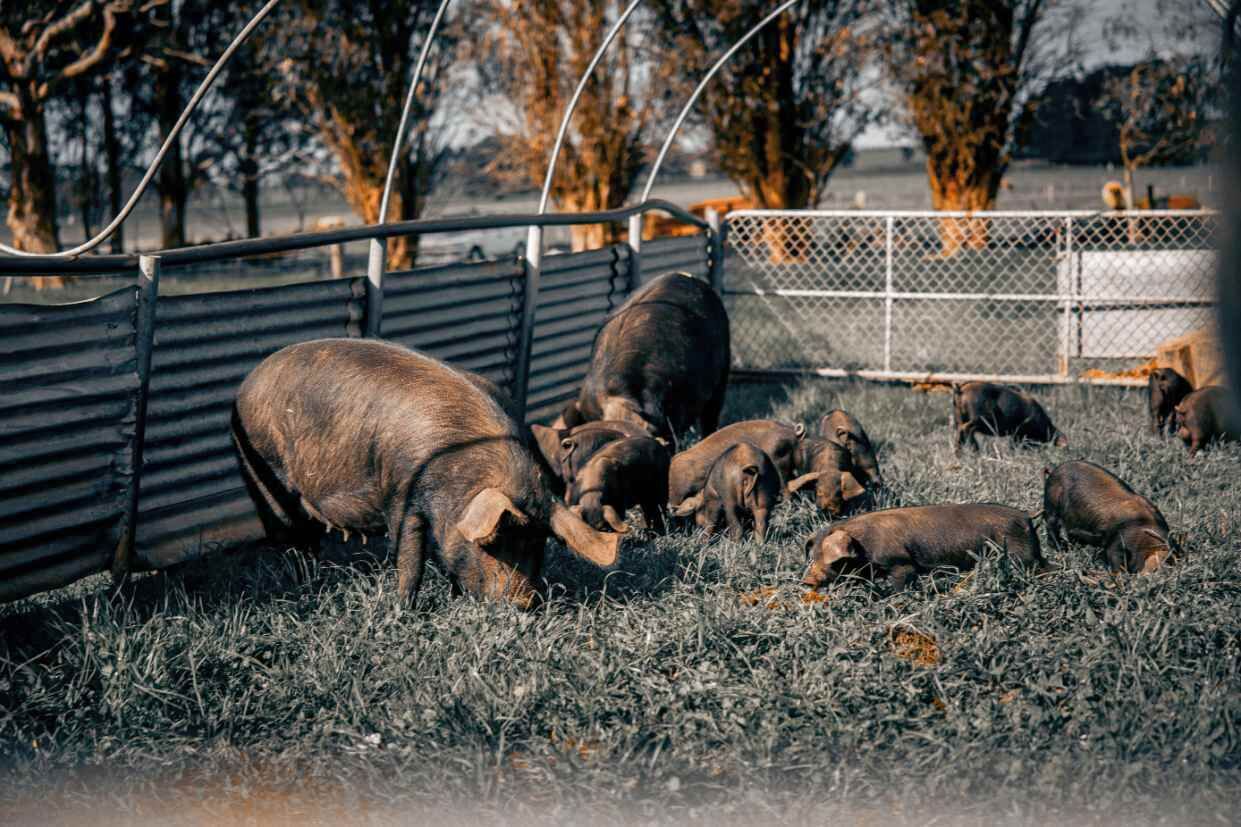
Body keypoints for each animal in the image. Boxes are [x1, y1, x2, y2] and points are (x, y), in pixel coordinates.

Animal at [231, 338, 622, 608]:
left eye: (539, 543)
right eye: (494, 543)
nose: (524, 604)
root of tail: (247, 382)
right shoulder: (401, 492)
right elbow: (409, 556)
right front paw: (403, 609)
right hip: (263, 472)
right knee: (287, 533)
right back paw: (303, 580)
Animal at [801, 504, 1048, 591]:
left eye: (832, 560)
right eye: (812, 557)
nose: (807, 581)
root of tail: (1026, 515)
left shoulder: (900, 563)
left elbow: (901, 583)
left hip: (1020, 555)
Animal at [1042, 461, 1174, 574]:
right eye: (1155, 569)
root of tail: (1054, 471)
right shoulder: (1119, 540)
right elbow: (1114, 559)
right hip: (1052, 502)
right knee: (1051, 524)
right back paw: (1061, 547)